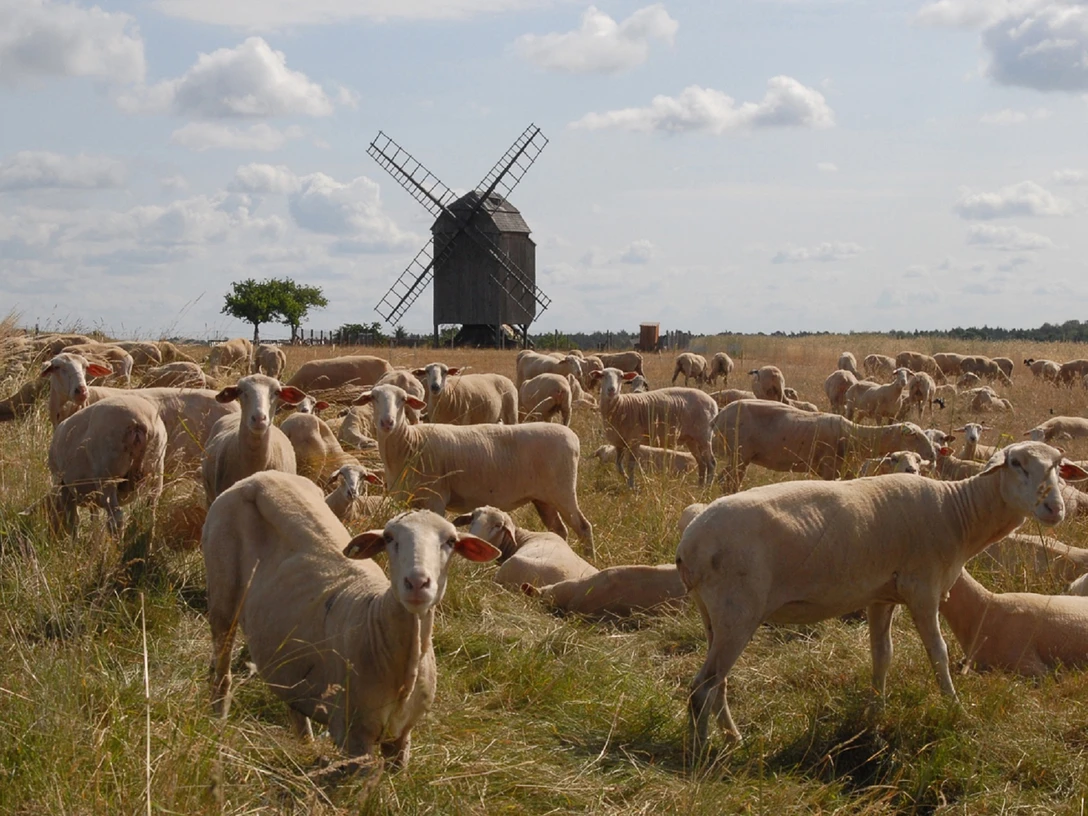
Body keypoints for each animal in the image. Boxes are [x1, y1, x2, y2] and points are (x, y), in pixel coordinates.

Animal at [47, 394, 167, 537]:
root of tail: (138, 422)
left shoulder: (64, 485)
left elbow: (73, 521)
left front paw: (75, 541)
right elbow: (93, 519)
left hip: (107, 475)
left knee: (116, 518)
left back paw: (116, 542)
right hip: (156, 469)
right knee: (150, 511)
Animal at [203, 473, 499, 767]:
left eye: (451, 541)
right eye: (389, 538)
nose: (416, 583)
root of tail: (258, 477)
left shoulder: (402, 737)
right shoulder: (354, 736)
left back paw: (306, 745)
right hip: (223, 600)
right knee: (222, 674)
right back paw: (217, 727)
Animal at [357, 384, 594, 554]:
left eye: (403, 399)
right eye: (374, 398)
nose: (387, 422)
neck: (410, 444)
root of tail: (572, 437)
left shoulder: (436, 499)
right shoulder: (405, 500)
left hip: (563, 491)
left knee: (583, 527)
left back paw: (589, 557)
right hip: (543, 499)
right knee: (559, 529)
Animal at [712, 399, 938, 491]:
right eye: (914, 436)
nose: (932, 456)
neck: (856, 436)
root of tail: (717, 417)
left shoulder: (847, 471)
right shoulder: (830, 469)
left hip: (741, 457)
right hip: (738, 454)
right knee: (726, 481)